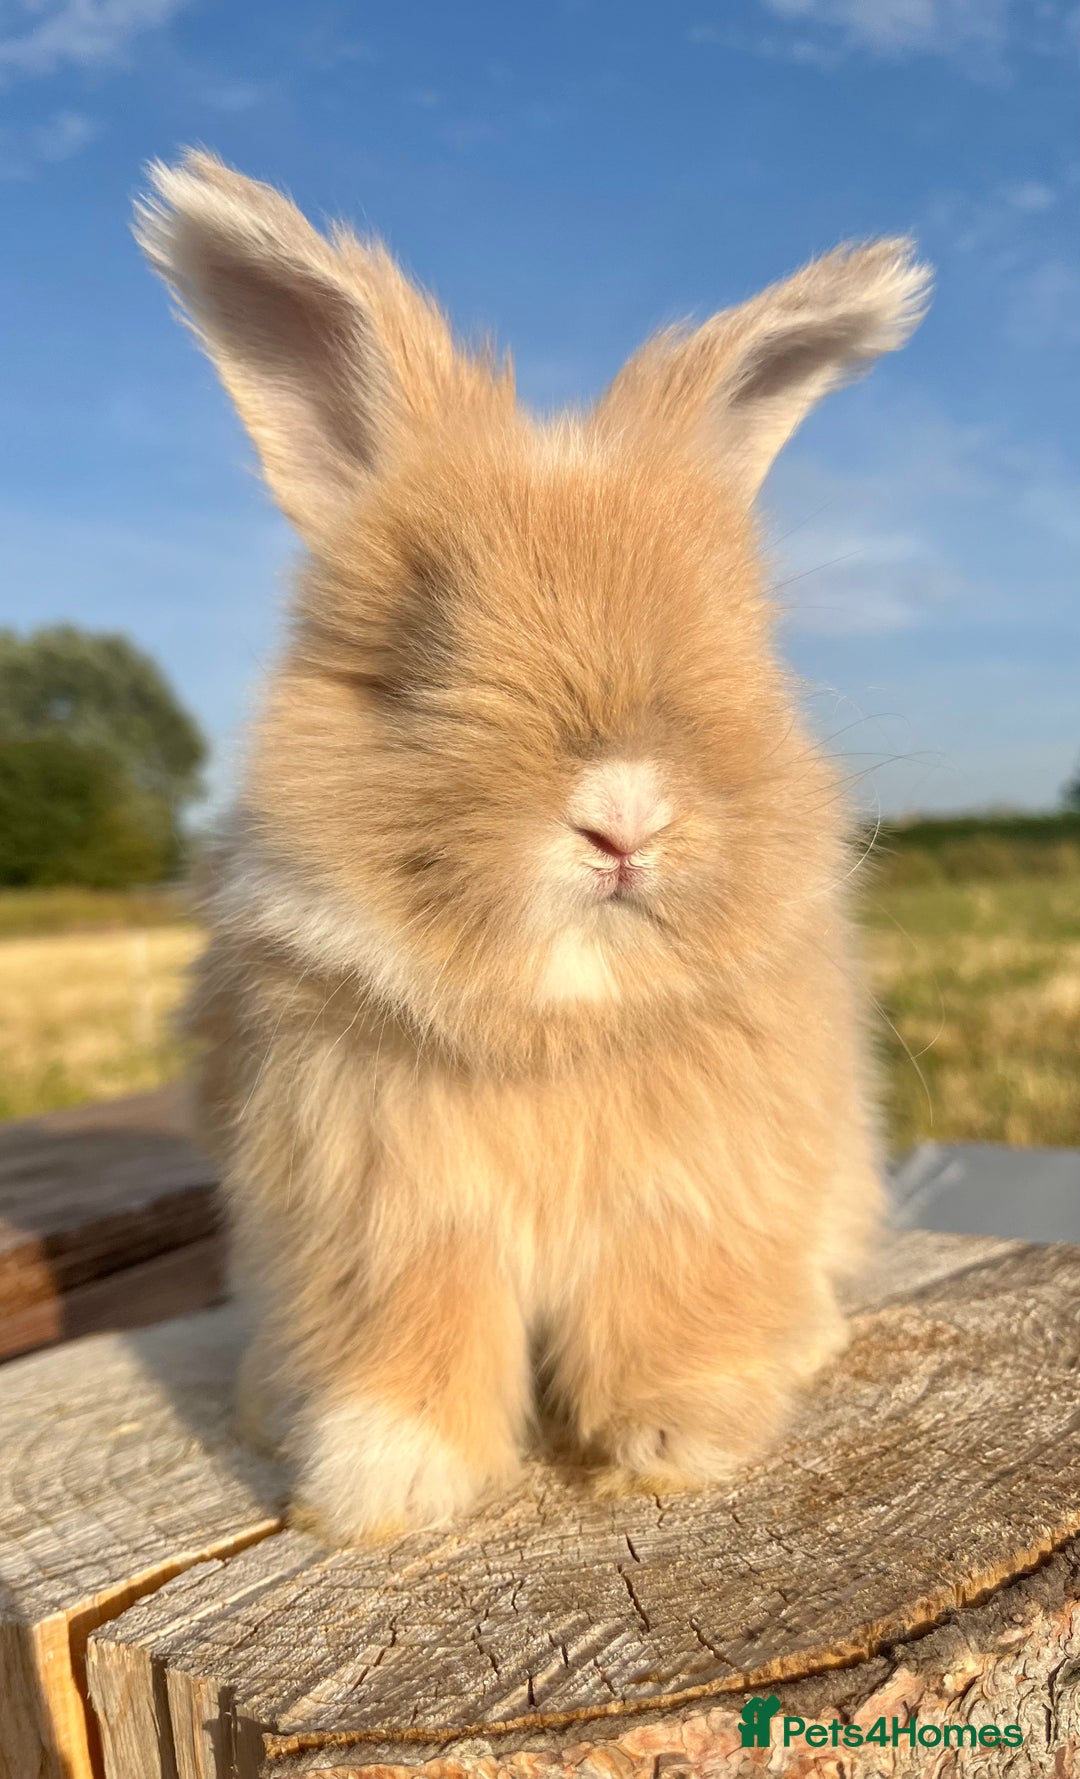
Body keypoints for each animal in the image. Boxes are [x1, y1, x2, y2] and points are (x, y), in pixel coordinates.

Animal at [136, 151, 930, 1545]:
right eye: (423, 655)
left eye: (739, 652)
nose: (624, 818)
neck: (561, 1008)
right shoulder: (387, 1220)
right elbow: (404, 1348)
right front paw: (379, 1489)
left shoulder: (690, 1201)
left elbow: (673, 1319)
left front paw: (681, 1443)